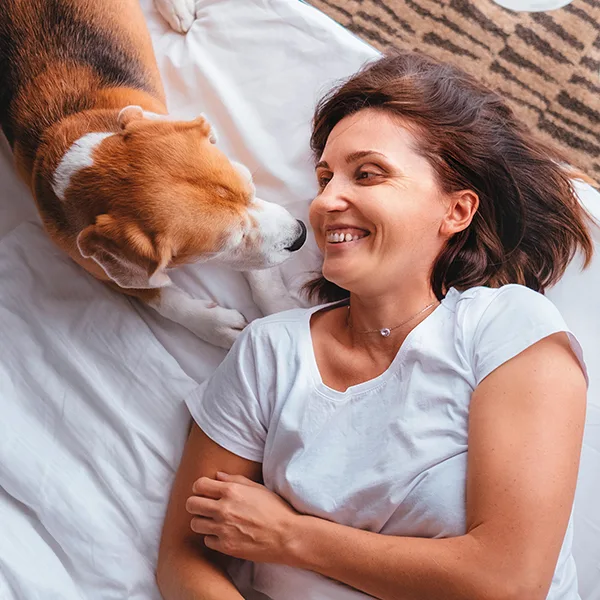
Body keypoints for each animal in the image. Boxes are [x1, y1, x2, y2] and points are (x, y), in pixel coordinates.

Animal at [0, 0, 308, 350]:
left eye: (252, 187)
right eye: (232, 241)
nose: (301, 234)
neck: (78, 153)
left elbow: (261, 273)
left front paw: (280, 310)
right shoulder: (104, 270)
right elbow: (161, 296)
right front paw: (214, 324)